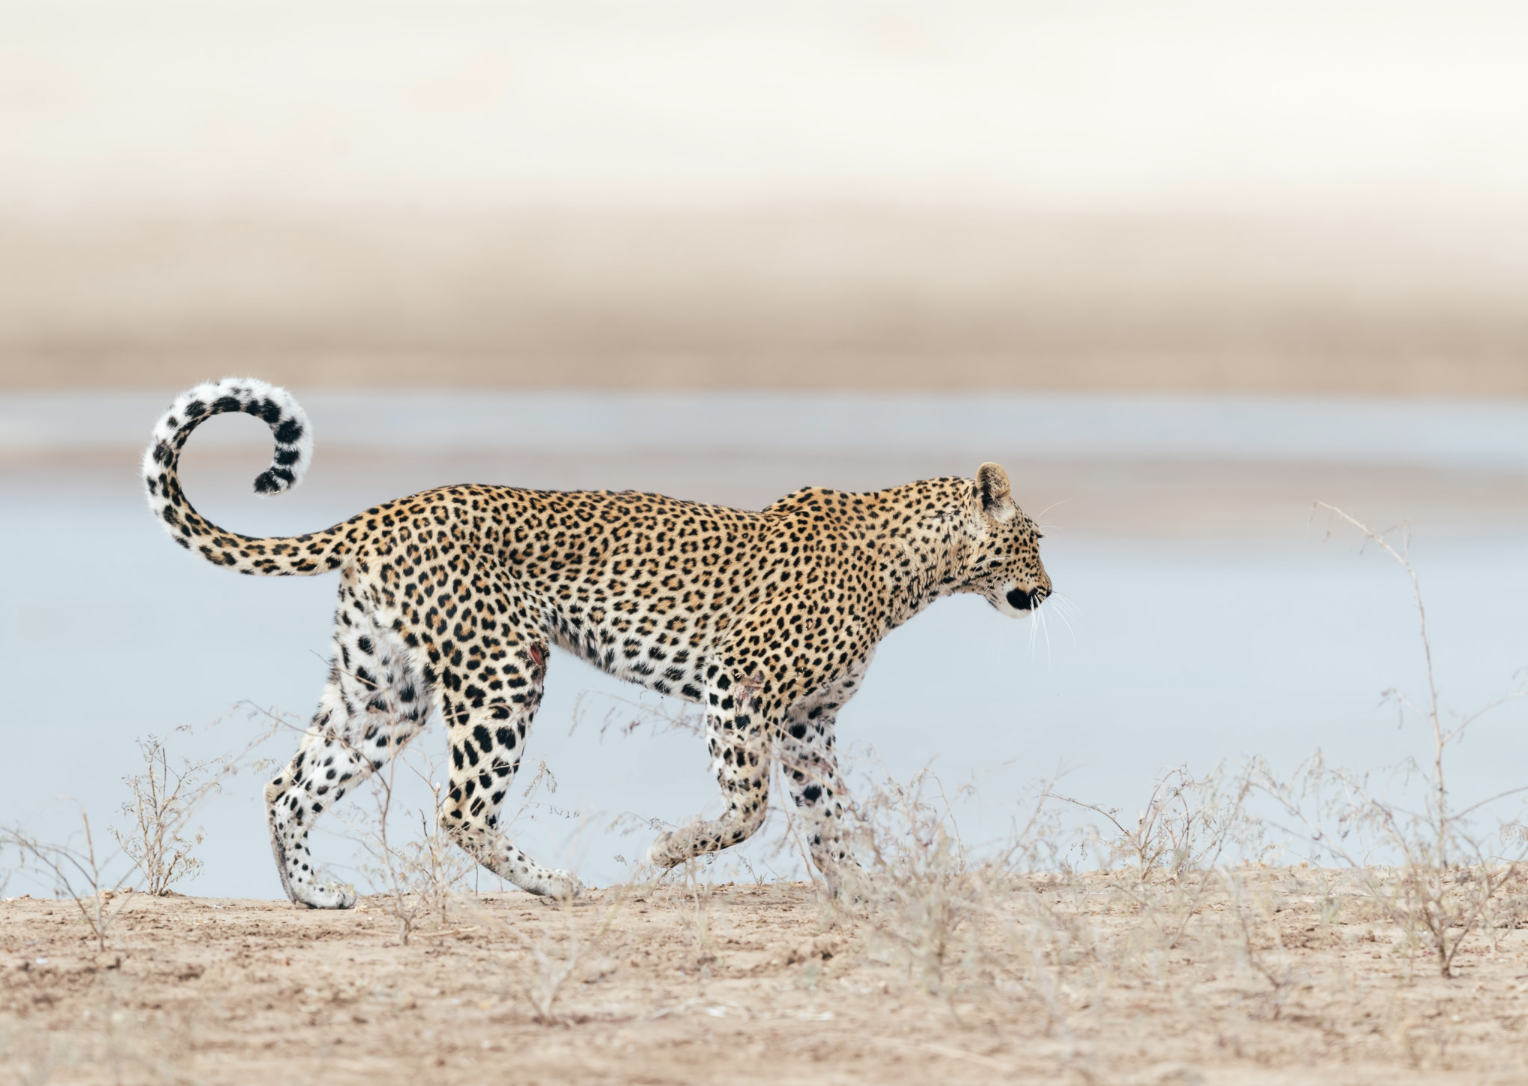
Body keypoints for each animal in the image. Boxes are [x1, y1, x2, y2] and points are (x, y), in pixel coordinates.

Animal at [143, 377, 1053, 908]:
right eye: (1036, 539)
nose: (1047, 591)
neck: (915, 573)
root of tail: (389, 509)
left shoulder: (807, 722)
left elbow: (827, 813)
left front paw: (862, 885)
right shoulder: (739, 686)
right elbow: (751, 806)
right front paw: (669, 851)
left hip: (382, 689)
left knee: (288, 784)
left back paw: (313, 894)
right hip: (503, 671)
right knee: (459, 805)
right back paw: (557, 885)